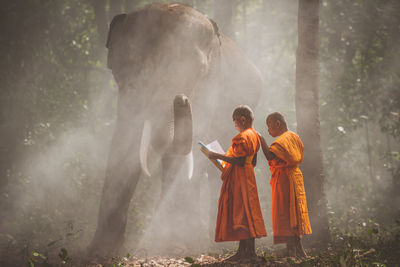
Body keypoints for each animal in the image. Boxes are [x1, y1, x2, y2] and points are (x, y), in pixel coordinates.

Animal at [88, 2, 262, 256]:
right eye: (133, 66)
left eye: (200, 71)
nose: (181, 98)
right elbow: (124, 142)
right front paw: (100, 251)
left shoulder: (211, 91)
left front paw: (174, 245)